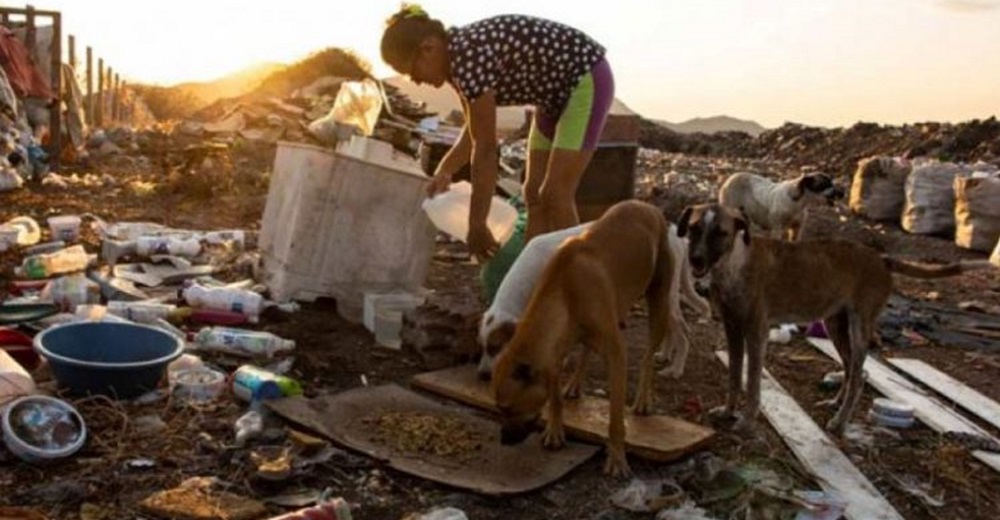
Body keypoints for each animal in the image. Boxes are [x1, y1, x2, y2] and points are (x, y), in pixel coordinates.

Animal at [488, 201, 676, 478]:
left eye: (508, 408)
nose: (503, 439)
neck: (564, 290)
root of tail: (647, 205)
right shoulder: (553, 353)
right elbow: (554, 397)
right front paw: (555, 430)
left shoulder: (616, 354)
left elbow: (615, 417)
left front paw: (617, 457)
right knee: (587, 349)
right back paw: (575, 384)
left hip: (659, 301)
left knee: (648, 356)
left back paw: (642, 398)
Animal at [676, 203, 988, 434]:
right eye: (693, 228)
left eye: (720, 233)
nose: (696, 261)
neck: (733, 265)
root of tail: (882, 258)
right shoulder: (732, 328)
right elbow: (732, 376)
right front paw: (728, 412)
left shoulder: (755, 332)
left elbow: (752, 384)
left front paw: (746, 421)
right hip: (835, 325)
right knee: (851, 370)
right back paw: (836, 403)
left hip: (860, 327)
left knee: (859, 375)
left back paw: (840, 421)